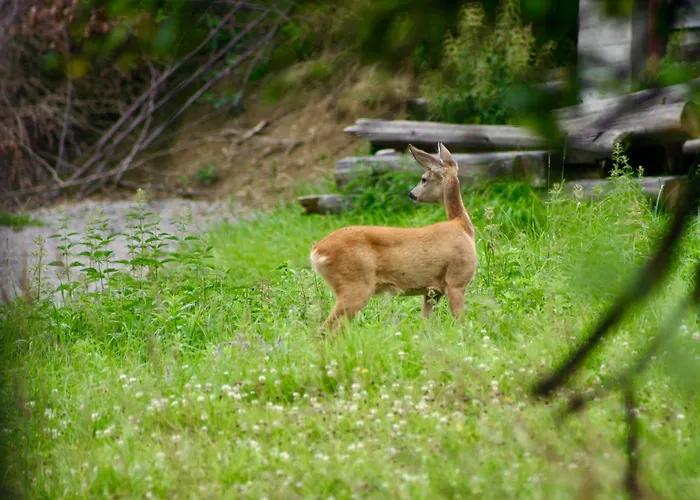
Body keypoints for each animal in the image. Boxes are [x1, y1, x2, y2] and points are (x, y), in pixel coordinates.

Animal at [310, 142, 477, 334]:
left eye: (423, 179)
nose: (411, 194)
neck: (462, 226)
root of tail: (316, 251)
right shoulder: (457, 280)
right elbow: (461, 323)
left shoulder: (432, 291)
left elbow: (426, 324)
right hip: (355, 285)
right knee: (326, 330)